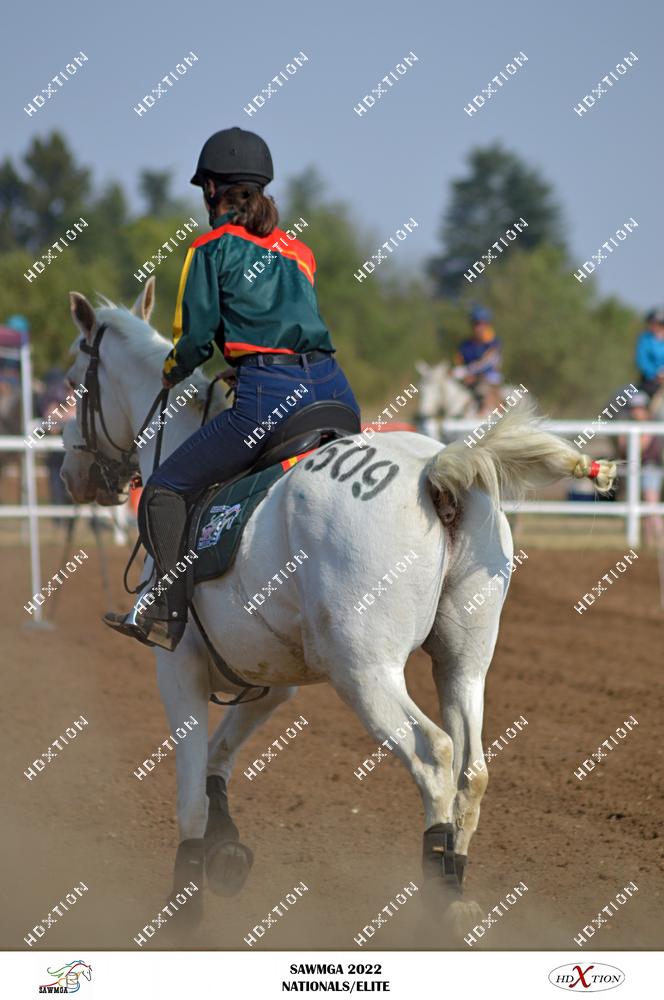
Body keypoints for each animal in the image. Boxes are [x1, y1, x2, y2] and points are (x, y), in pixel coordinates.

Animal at [60, 277, 616, 940]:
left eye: (73, 380)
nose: (70, 473)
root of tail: (434, 471)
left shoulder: (180, 667)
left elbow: (191, 792)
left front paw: (183, 906)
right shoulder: (270, 679)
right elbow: (219, 758)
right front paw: (225, 850)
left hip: (365, 672)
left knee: (434, 756)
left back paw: (436, 895)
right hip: (462, 663)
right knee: (471, 769)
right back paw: (456, 889)